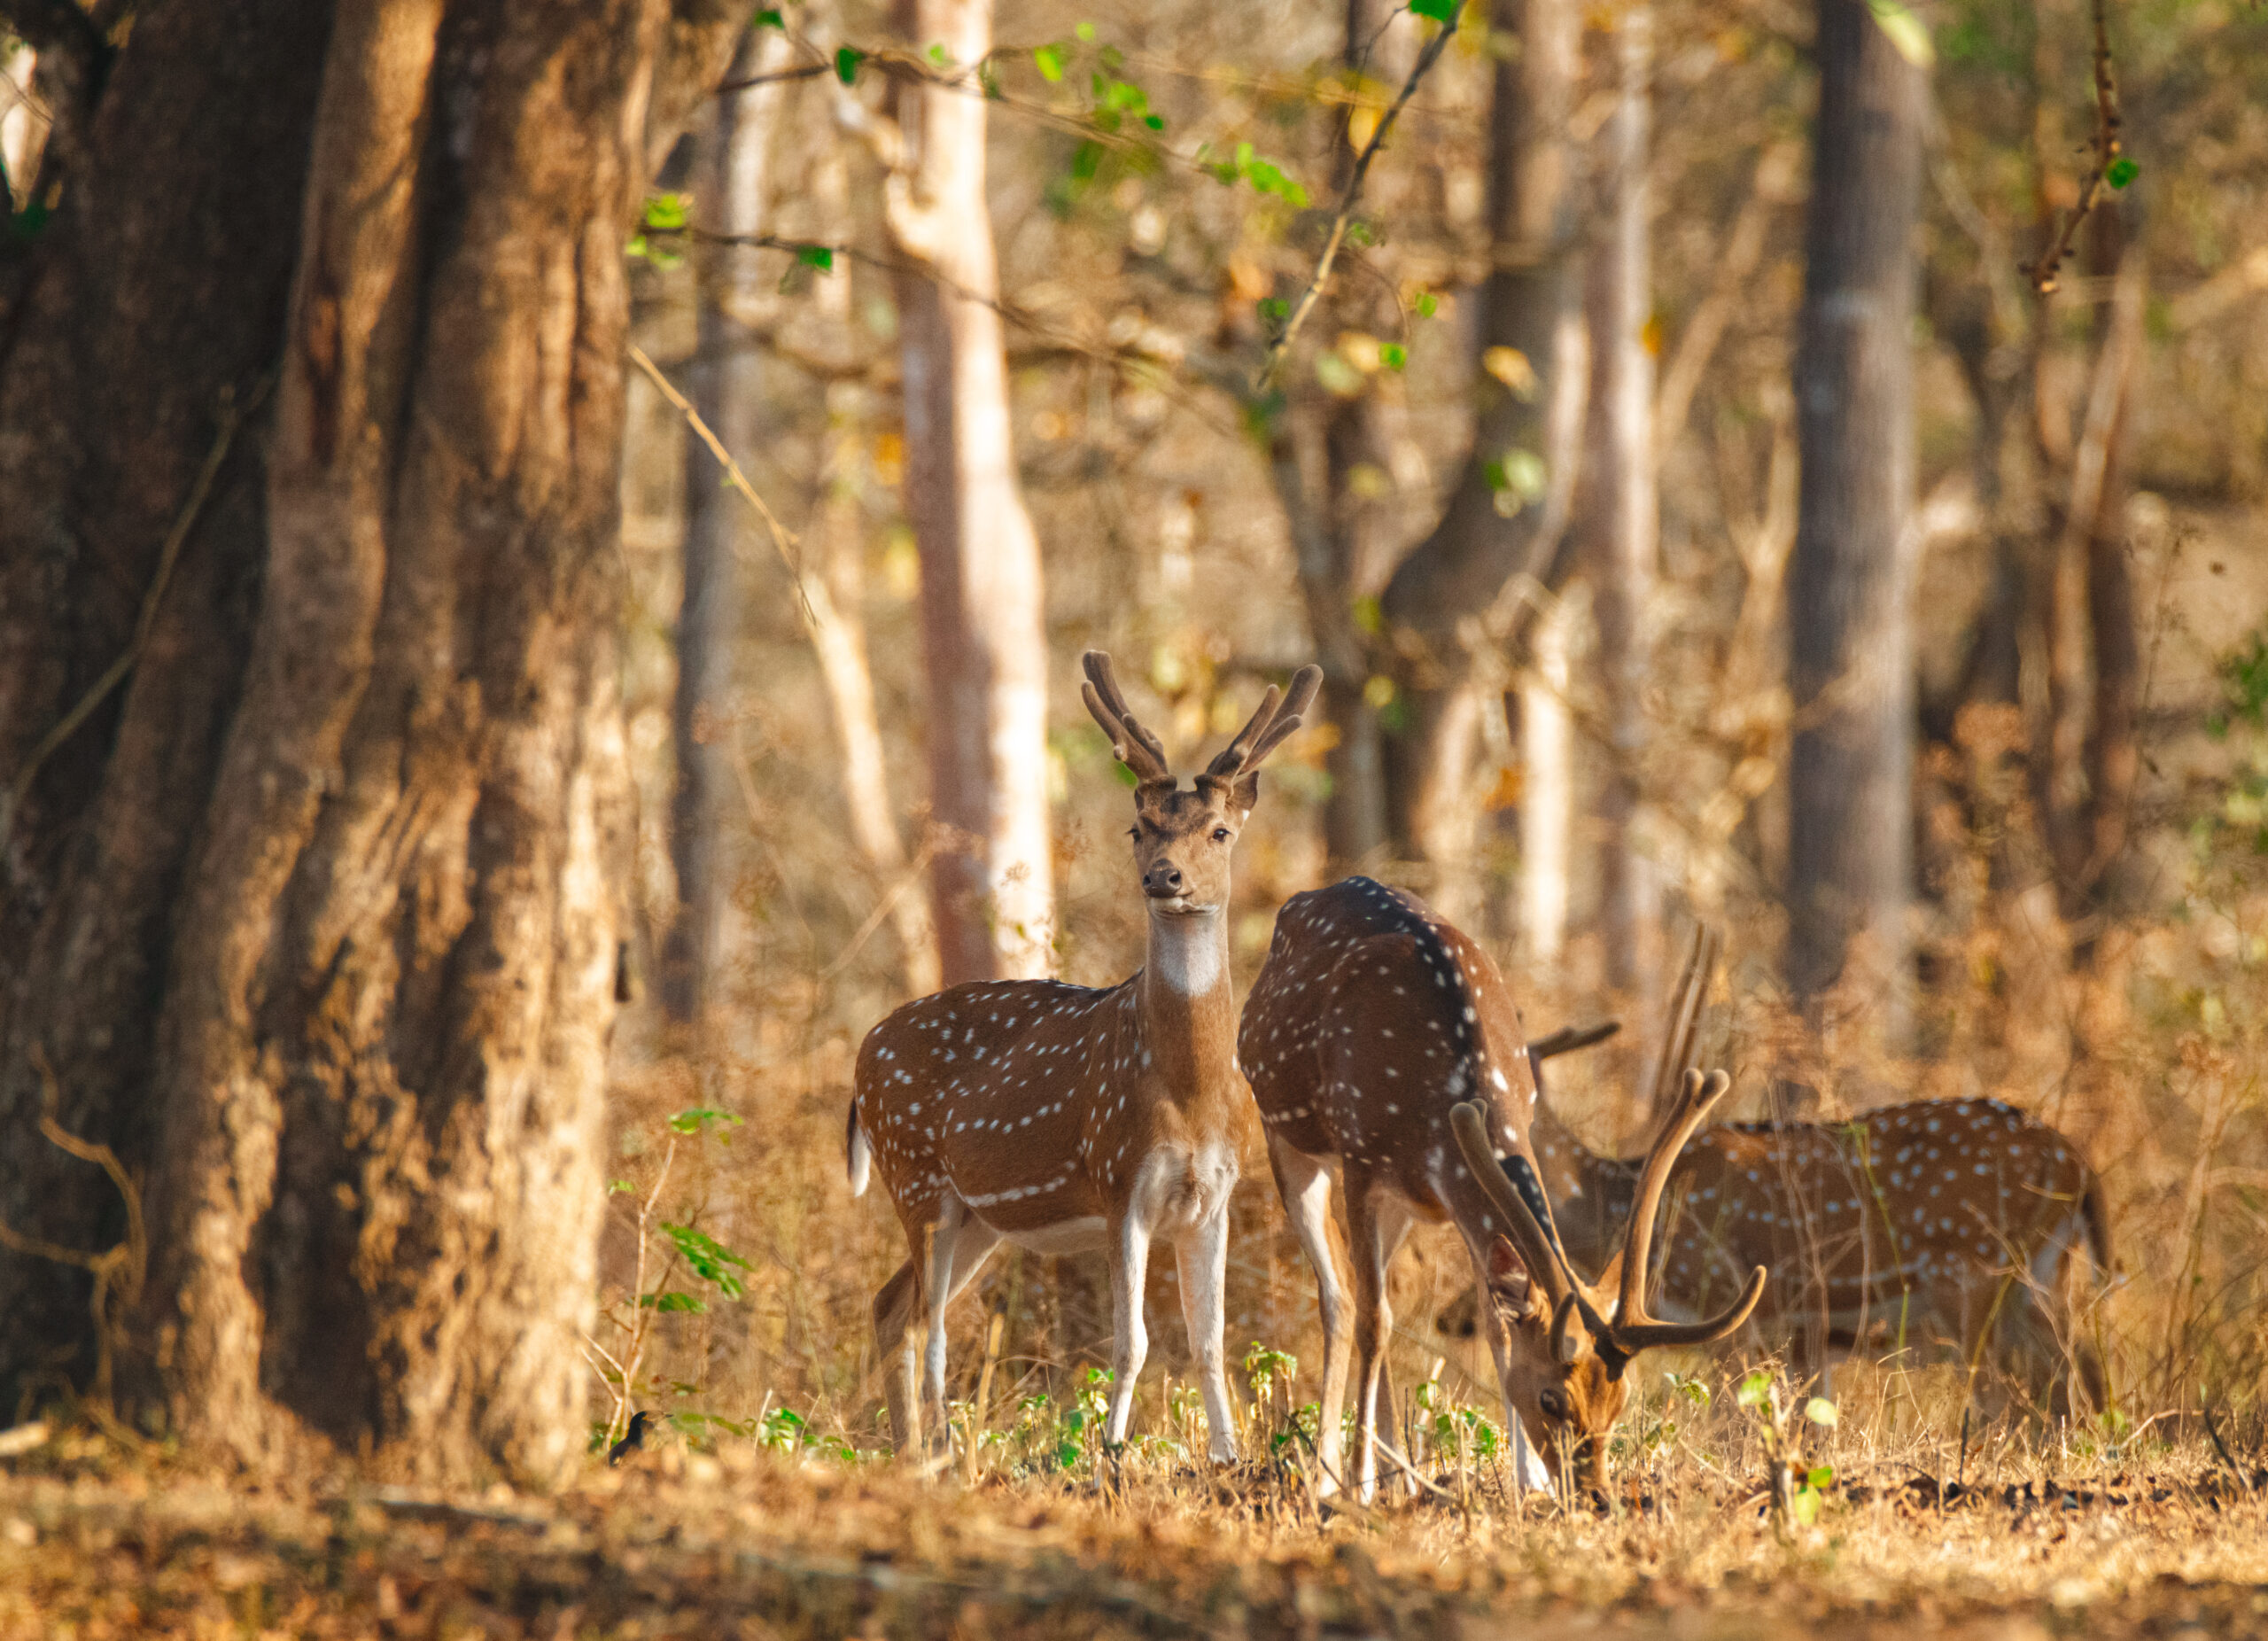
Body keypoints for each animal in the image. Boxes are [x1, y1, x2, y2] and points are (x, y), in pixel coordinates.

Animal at [843, 649, 1324, 1452]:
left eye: (1220, 830)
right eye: (1139, 827)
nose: (1164, 877)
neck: (1190, 1090)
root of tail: (859, 1064)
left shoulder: (1214, 1196)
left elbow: (1209, 1341)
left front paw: (1229, 1458)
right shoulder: (1118, 1179)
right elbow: (1132, 1343)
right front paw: (1111, 1452)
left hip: (976, 1217)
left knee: (890, 1307)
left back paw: (911, 1450)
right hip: (914, 1176)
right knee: (928, 1325)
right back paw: (937, 1453)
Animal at [1233, 885, 1759, 1497]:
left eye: (1620, 1400)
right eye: (1551, 1400)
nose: (1595, 1494)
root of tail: (1307, 896)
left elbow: (1494, 1325)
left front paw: (1526, 1486)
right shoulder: (1361, 1158)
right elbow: (1374, 1320)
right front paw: (1358, 1487)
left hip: (1402, 1204)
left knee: (1367, 1287)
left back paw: (1401, 1476)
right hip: (1286, 1134)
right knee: (1343, 1295)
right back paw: (1331, 1478)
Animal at [1442, 935, 2113, 1425]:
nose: (1454, 1319)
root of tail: (2078, 1168)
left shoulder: (1735, 1311)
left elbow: (1737, 1424)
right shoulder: (1803, 1338)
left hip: (1973, 1277)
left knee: (2007, 1396)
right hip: (2045, 1281)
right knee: (2071, 1391)